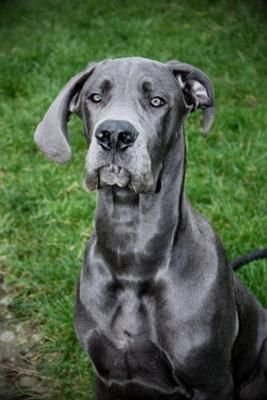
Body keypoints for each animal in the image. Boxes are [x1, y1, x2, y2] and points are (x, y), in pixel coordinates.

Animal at [34, 57, 267, 398]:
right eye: (95, 97)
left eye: (157, 101)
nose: (114, 134)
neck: (132, 247)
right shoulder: (106, 376)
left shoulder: (211, 381)